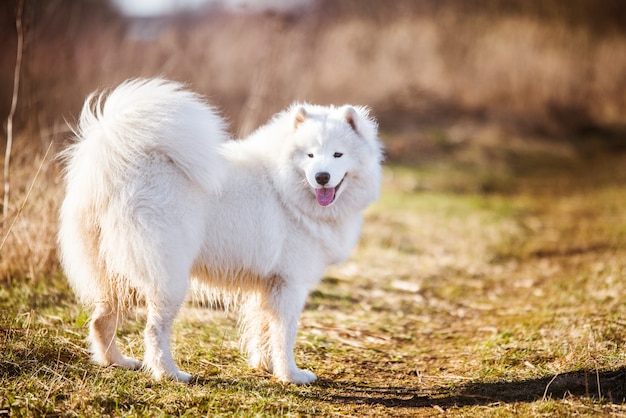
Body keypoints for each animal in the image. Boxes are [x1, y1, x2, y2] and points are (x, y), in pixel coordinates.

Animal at [57, 76, 380, 384]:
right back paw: (169, 374)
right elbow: (284, 336)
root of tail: (115, 168)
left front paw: (265, 366)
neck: (286, 189)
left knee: (101, 320)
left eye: (337, 155)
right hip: (169, 278)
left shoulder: (267, 285)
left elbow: (262, 329)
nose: (322, 177)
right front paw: (291, 375)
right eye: (310, 156)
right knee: (153, 330)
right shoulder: (290, 284)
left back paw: (117, 362)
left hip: (113, 275)